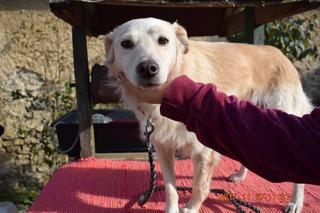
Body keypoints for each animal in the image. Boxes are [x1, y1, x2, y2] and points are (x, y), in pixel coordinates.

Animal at [104, 18, 312, 213]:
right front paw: (171, 208)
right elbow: (170, 188)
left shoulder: (204, 152)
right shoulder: (163, 148)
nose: (148, 68)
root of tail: (280, 54)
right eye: (126, 44)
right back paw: (240, 176)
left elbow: (199, 187)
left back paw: (296, 202)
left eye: (163, 40)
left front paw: (191, 208)